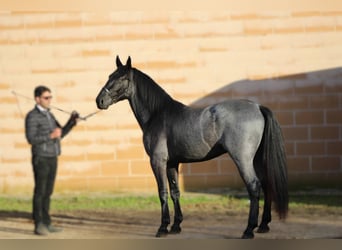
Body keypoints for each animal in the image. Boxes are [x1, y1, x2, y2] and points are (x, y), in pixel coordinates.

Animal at [95, 55, 288, 239]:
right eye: (110, 76)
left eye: (121, 78)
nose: (100, 101)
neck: (158, 114)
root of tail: (258, 107)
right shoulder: (172, 163)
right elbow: (175, 192)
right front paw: (176, 226)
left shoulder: (157, 161)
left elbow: (162, 192)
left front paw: (163, 228)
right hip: (257, 159)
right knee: (266, 183)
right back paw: (263, 226)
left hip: (243, 159)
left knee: (254, 186)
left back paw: (248, 230)